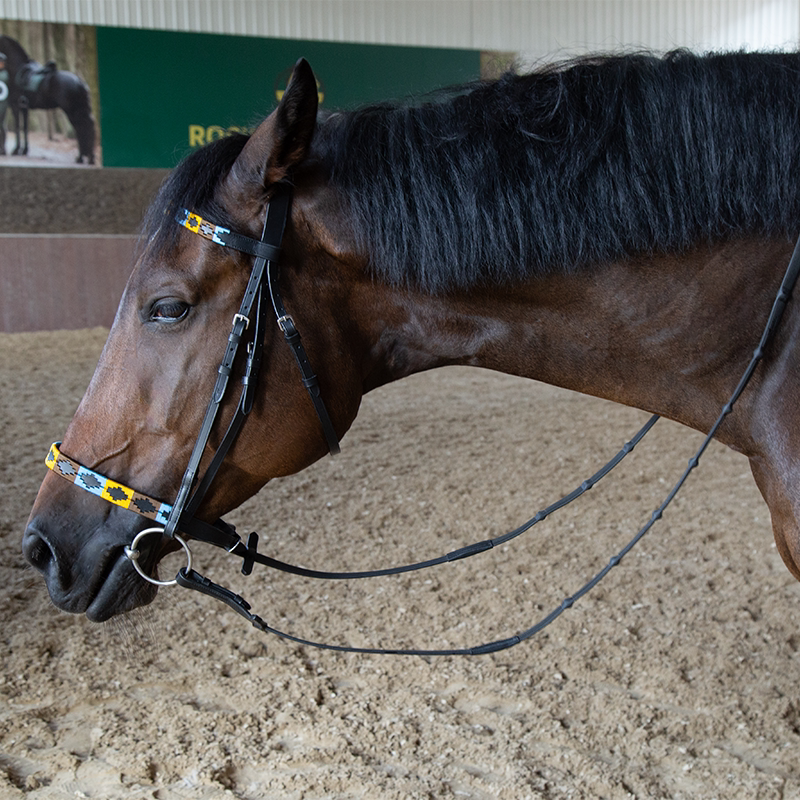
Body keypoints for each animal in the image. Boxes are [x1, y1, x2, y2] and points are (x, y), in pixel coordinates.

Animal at [0, 34, 95, 164]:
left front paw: (16, 150)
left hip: (71, 110)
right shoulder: (24, 108)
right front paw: (24, 150)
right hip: (81, 109)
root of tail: (79, 81)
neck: (17, 70)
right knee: (88, 126)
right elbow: (25, 128)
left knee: (80, 127)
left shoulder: (15, 106)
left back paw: (81, 157)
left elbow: (17, 127)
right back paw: (89, 158)